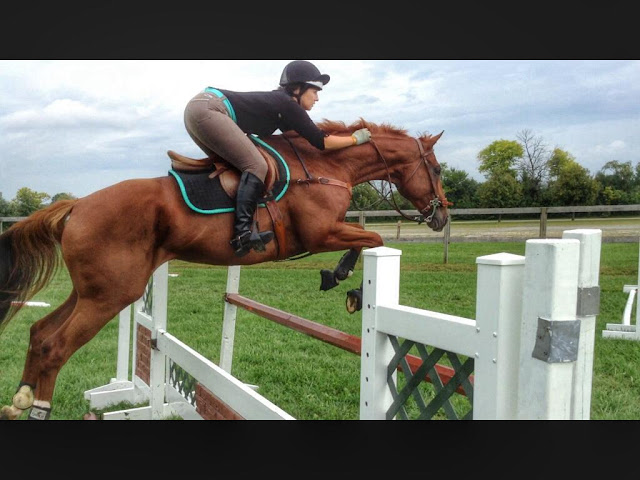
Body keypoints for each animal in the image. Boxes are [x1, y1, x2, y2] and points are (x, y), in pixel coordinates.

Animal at [0, 119, 449, 420]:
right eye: (438, 169)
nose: (442, 215)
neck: (325, 168)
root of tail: (76, 206)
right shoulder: (321, 233)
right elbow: (371, 238)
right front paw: (346, 285)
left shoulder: (328, 232)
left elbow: (367, 237)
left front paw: (340, 281)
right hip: (110, 295)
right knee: (56, 346)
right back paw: (39, 407)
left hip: (92, 291)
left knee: (39, 333)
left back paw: (20, 400)